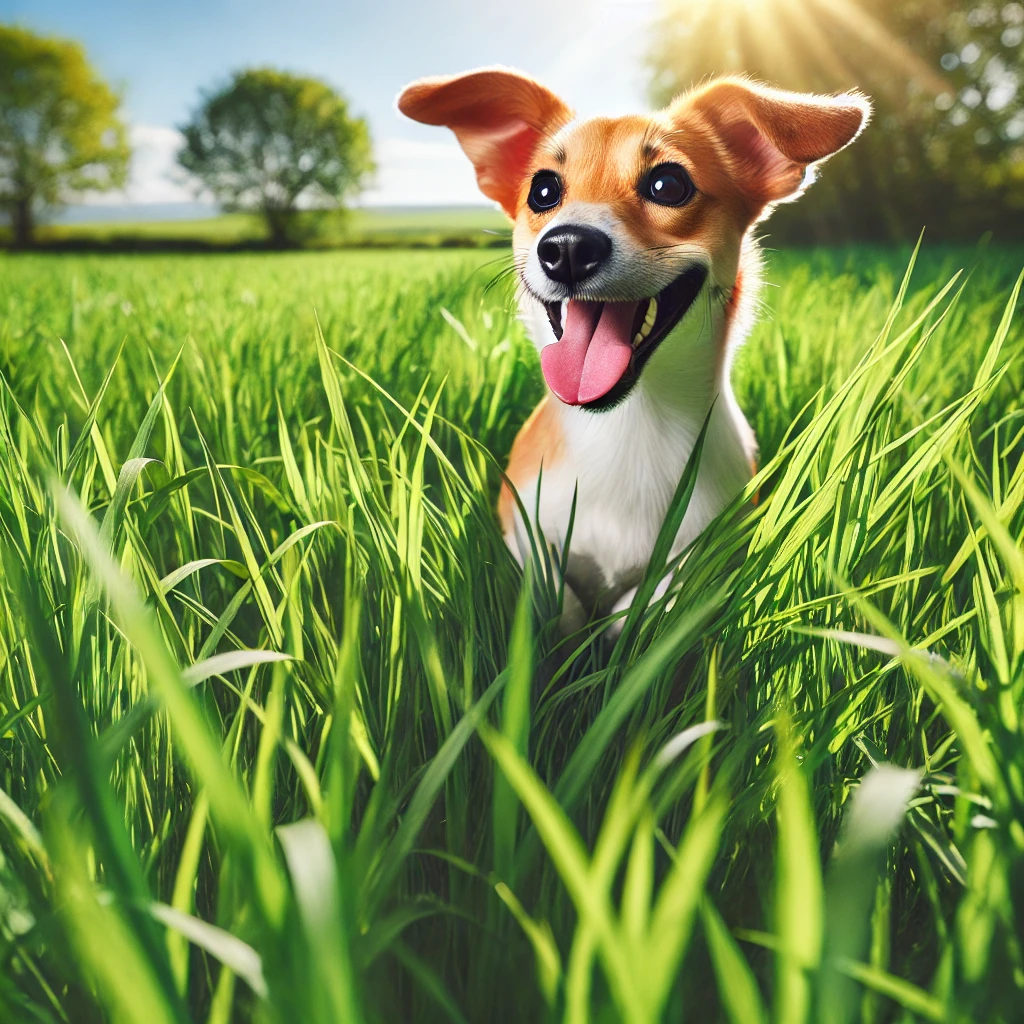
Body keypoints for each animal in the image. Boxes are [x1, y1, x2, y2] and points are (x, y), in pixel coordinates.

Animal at [395, 68, 868, 626]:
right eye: (543, 190)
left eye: (668, 184)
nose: (567, 247)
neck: (627, 426)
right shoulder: (521, 525)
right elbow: (553, 594)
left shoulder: (706, 550)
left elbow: (648, 602)